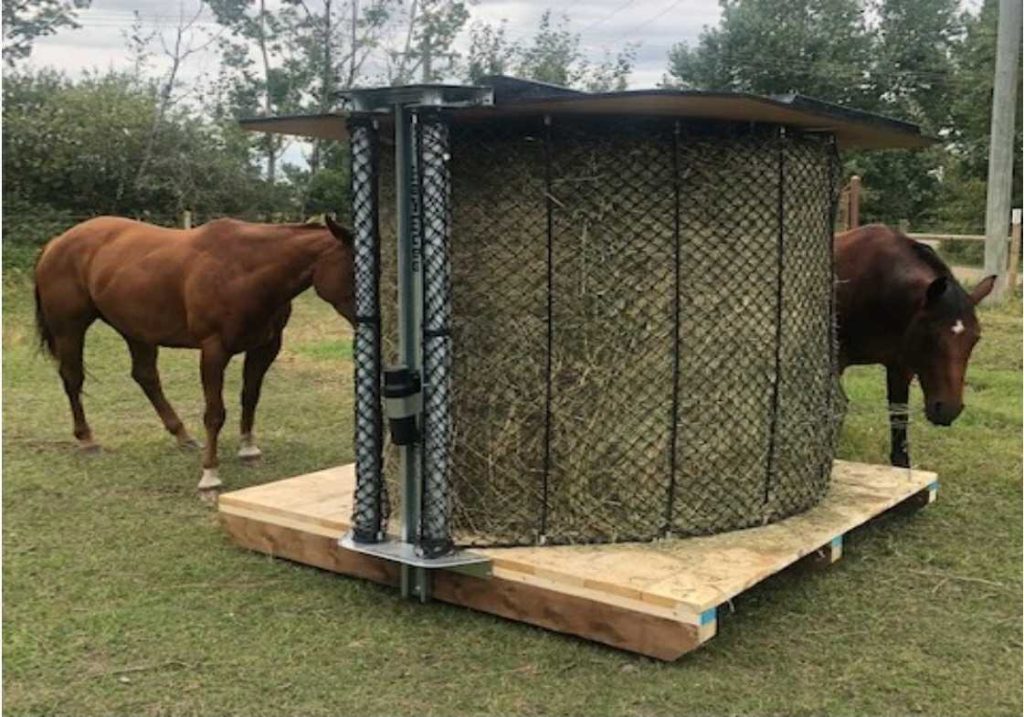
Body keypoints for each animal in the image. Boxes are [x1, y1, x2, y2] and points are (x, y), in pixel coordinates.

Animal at [34, 213, 356, 493]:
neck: (244, 270)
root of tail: (57, 242)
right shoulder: (214, 350)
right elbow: (214, 414)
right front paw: (210, 475)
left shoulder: (265, 348)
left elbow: (250, 398)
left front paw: (248, 449)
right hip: (70, 329)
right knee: (73, 378)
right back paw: (87, 440)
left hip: (137, 330)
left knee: (145, 376)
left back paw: (183, 436)